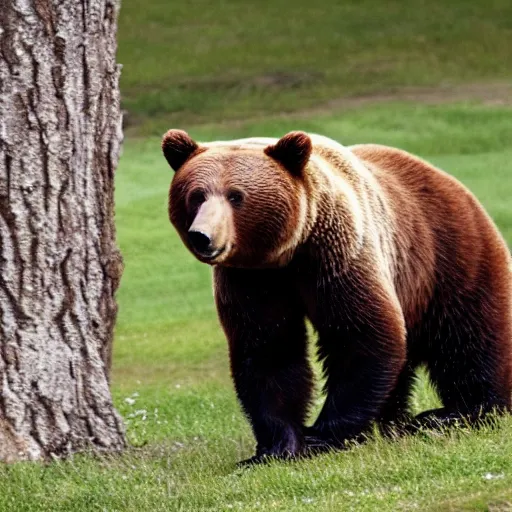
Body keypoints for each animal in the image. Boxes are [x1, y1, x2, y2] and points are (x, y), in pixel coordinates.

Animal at [162, 128, 510, 464]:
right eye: (196, 195)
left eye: (236, 196)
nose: (203, 236)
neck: (288, 255)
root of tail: (446, 178)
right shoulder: (250, 280)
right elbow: (267, 350)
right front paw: (275, 447)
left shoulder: (338, 256)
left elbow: (360, 337)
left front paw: (321, 436)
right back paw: (394, 422)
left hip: (448, 254)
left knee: (469, 338)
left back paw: (456, 413)